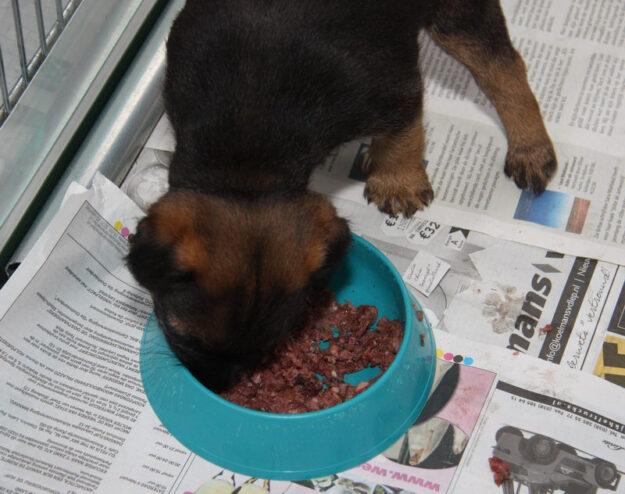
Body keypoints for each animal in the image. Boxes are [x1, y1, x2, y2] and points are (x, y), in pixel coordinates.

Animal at [127, 0, 556, 392]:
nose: (217, 387)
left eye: (270, 342)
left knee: (502, 66)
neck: (245, 163)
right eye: (183, 337)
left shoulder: (395, 91)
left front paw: (397, 179)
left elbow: (405, 135)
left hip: (456, 16)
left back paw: (530, 146)